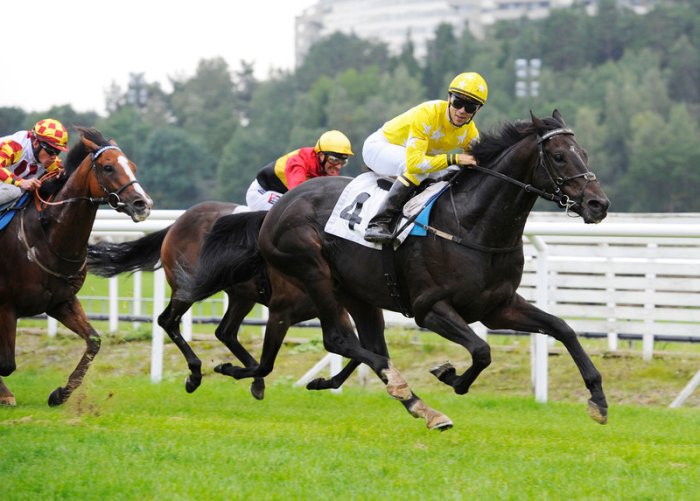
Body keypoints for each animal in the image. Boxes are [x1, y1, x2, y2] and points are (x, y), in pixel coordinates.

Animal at [0, 126, 152, 406]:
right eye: (108, 167)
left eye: (132, 166)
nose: (143, 204)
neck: (47, 237)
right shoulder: (5, 305)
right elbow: (6, 363)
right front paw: (5, 394)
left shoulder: (61, 301)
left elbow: (93, 340)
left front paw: (61, 393)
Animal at [183, 111, 608, 428]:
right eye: (559, 156)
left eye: (585, 152)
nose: (598, 204)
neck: (472, 224)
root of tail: (277, 208)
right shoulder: (430, 309)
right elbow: (482, 350)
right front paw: (450, 375)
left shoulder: (498, 307)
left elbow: (562, 329)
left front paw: (598, 399)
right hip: (312, 271)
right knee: (338, 340)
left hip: (358, 293)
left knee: (369, 345)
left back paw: (413, 404)